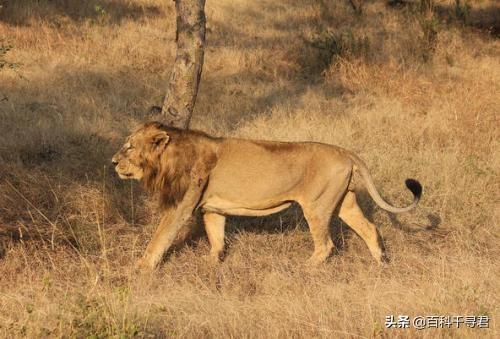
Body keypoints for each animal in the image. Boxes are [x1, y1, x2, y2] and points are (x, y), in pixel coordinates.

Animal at [111, 121, 420, 270]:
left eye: (129, 147)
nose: (113, 162)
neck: (168, 158)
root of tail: (346, 152)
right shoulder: (212, 208)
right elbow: (216, 238)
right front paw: (211, 264)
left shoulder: (180, 206)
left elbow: (160, 238)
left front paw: (142, 267)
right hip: (344, 201)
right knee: (370, 228)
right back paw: (381, 263)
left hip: (316, 207)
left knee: (326, 245)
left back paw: (304, 268)